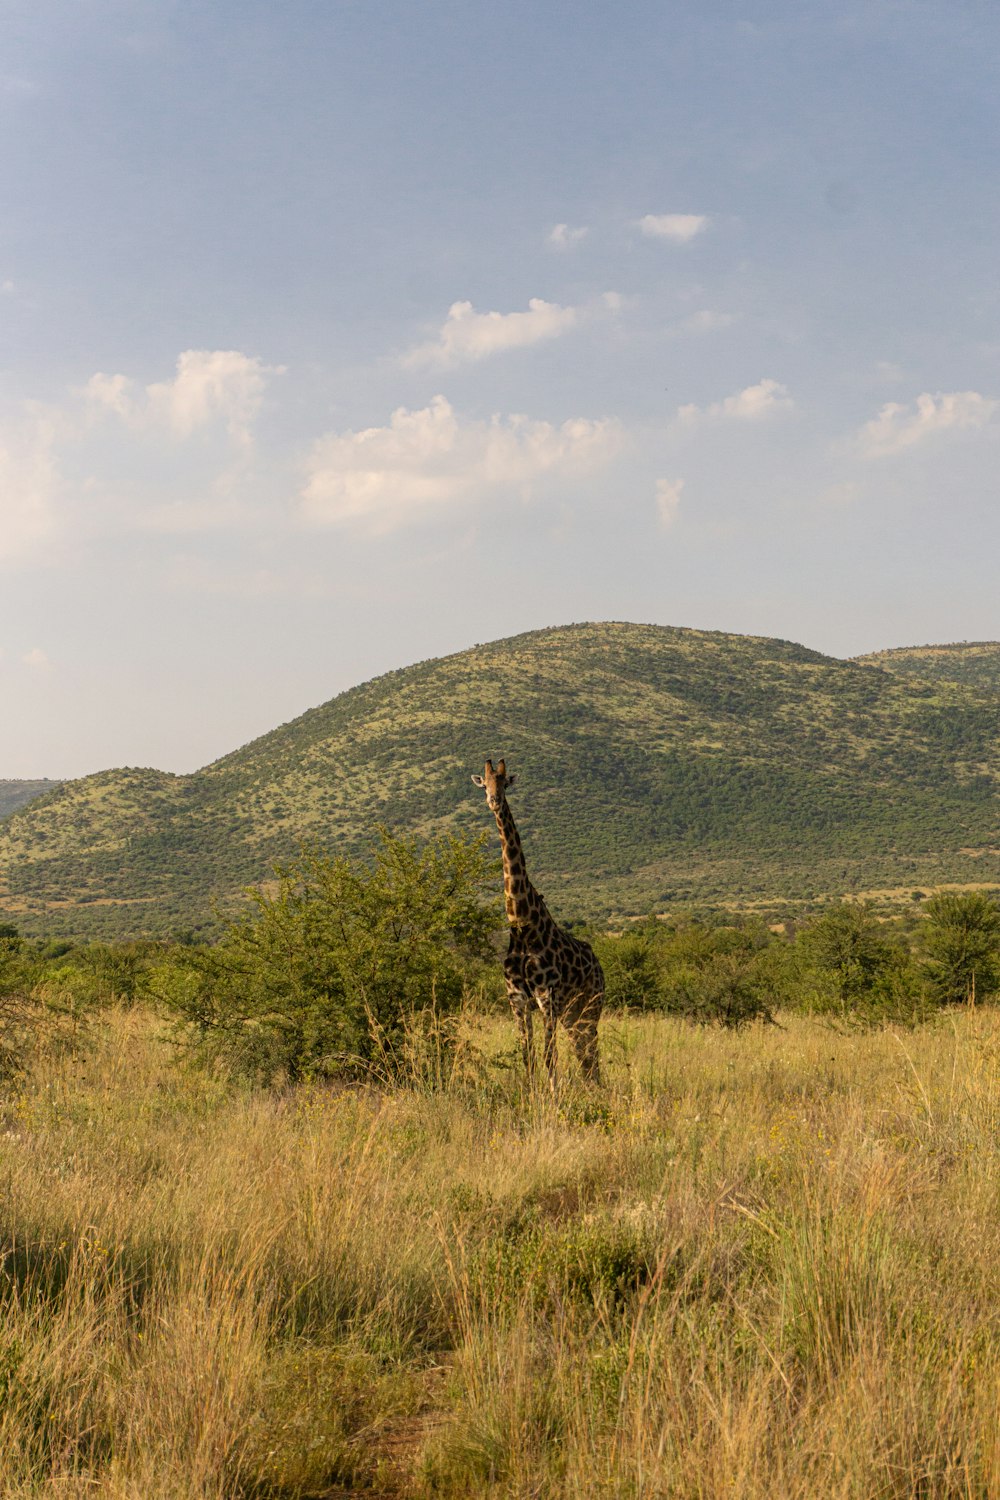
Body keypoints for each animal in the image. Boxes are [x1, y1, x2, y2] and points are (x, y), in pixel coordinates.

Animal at [476, 756, 605, 1086]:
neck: (522, 924)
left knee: (591, 1051)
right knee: (584, 1053)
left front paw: (552, 1093)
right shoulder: (517, 1000)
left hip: (590, 1005)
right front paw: (532, 1092)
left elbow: (549, 1056)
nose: (494, 800)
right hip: (572, 1013)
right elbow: (528, 1056)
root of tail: (599, 965)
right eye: (484, 782)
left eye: (504, 782)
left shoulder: (548, 997)